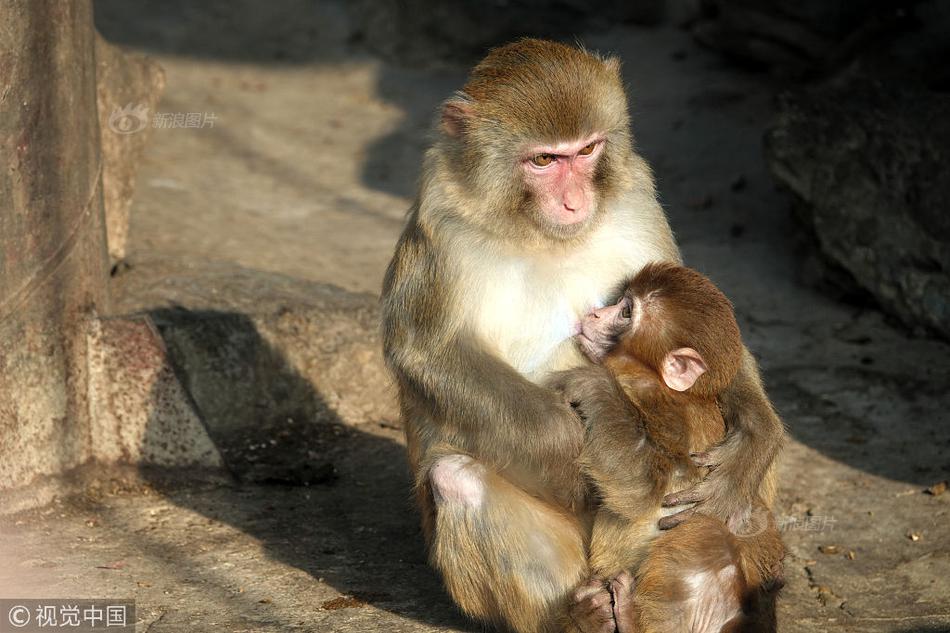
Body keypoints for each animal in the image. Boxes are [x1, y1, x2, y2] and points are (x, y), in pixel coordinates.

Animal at [382, 38, 788, 632]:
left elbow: (720, 344)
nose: (575, 201)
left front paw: (753, 442)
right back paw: (581, 616)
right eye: (544, 160)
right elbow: (427, 352)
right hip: (576, 560)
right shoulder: (442, 226)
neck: (537, 231)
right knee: (457, 478)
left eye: (588, 150)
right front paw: (571, 445)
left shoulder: (636, 198)